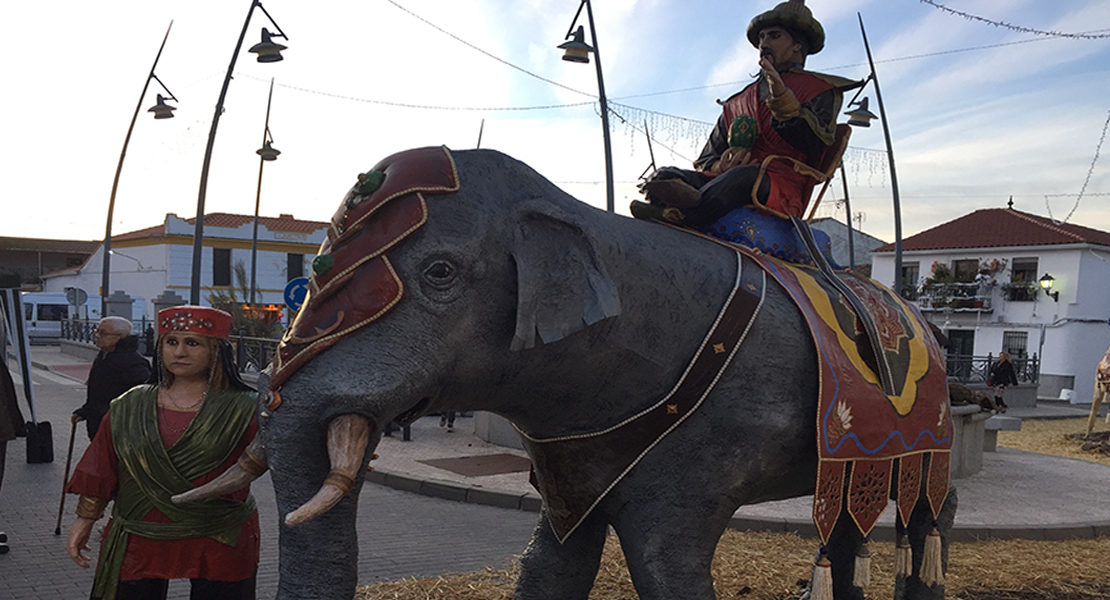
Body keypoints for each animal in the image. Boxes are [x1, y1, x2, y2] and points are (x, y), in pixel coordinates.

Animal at [179, 146, 954, 598]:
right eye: (312, 271)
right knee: (852, 521)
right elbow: (552, 561)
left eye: (440, 274)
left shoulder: (712, 434)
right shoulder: (565, 447)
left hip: (936, 425)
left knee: (926, 515)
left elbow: (663, 563)